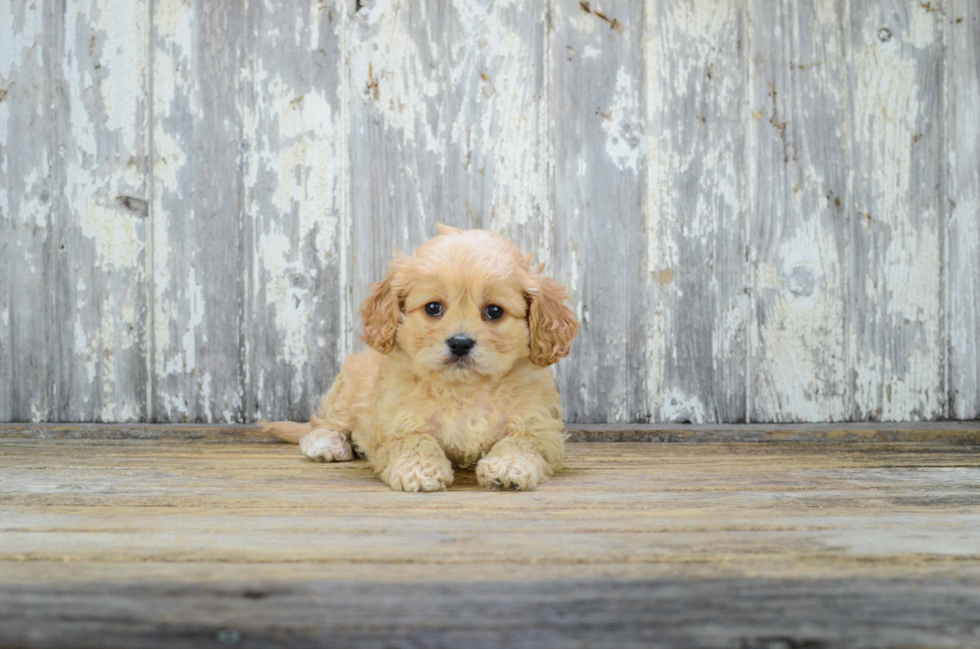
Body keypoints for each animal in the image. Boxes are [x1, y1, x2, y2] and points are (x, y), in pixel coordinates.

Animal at [264, 224, 580, 492]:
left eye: (494, 311)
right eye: (433, 308)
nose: (460, 343)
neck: (464, 388)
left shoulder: (538, 423)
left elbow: (522, 442)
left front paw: (508, 466)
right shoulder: (398, 420)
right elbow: (414, 441)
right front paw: (420, 470)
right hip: (349, 390)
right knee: (326, 421)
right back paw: (327, 443)